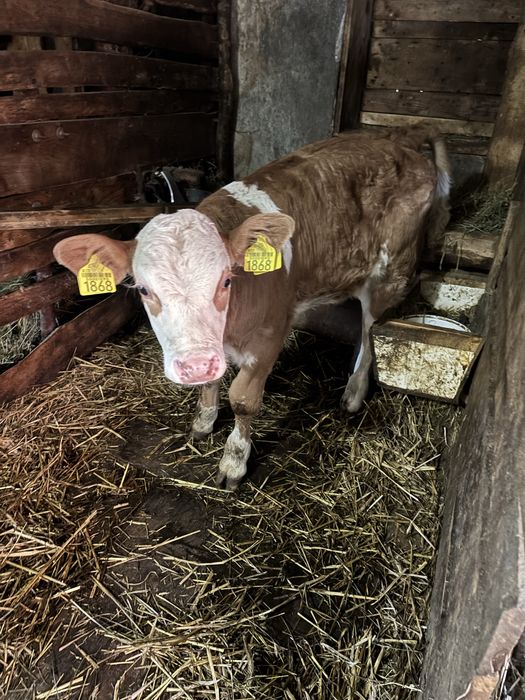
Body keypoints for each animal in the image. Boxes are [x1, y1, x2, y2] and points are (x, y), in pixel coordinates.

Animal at [54, 127, 451, 490]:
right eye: (144, 289)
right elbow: (211, 384)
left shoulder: (269, 335)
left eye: (226, 281)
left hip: (389, 274)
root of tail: (403, 137)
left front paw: (234, 462)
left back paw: (353, 392)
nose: (193, 363)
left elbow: (243, 399)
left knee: (370, 333)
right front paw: (203, 421)